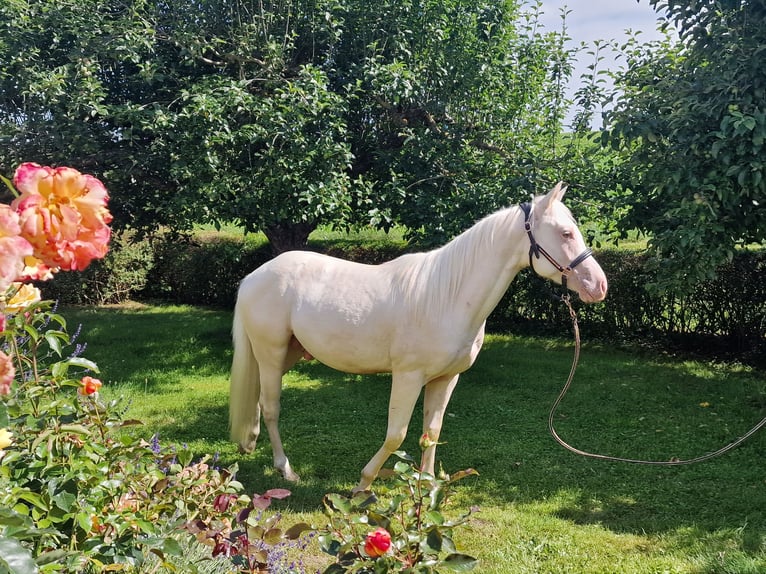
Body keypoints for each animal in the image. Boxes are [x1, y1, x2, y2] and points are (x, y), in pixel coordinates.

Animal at [228, 184, 608, 496]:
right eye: (565, 232)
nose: (599, 285)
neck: (447, 296)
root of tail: (254, 277)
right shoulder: (408, 377)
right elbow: (396, 434)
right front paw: (363, 483)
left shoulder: (446, 379)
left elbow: (432, 431)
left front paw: (426, 485)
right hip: (271, 353)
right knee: (272, 407)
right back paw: (286, 469)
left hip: (288, 355)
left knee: (259, 400)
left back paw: (250, 444)